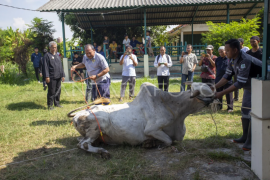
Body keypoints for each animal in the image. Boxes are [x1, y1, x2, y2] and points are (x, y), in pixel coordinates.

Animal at [68, 82, 215, 158]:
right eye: (204, 92)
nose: (214, 99)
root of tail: (77, 115)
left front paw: (150, 143)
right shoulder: (151, 129)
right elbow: (168, 141)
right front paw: (153, 144)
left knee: (80, 141)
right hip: (97, 125)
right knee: (83, 144)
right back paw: (102, 152)